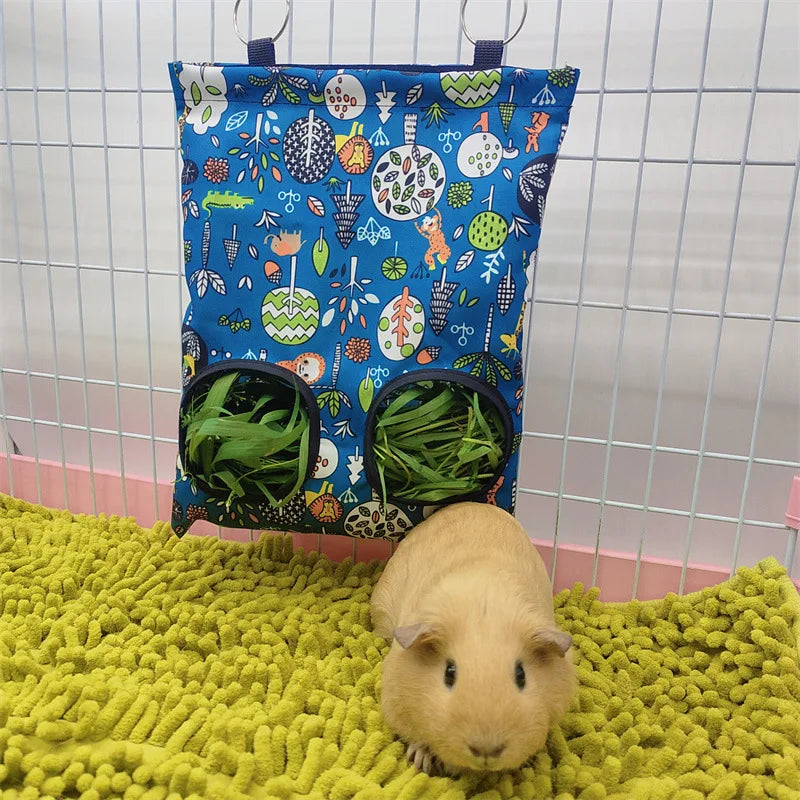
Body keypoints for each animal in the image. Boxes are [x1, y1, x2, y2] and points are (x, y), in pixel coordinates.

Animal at [370, 501, 576, 775]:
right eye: (449, 673)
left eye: (521, 675)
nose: (487, 750)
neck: (482, 605)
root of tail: (469, 504)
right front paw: (423, 761)